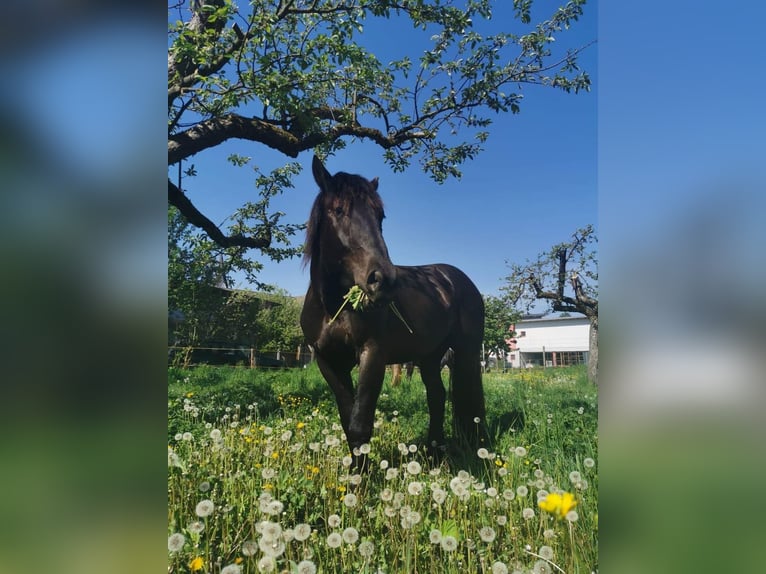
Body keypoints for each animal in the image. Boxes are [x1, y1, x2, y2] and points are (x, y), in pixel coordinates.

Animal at [300, 156, 486, 468]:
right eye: (338, 210)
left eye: (380, 216)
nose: (383, 279)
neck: (332, 307)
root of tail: (458, 279)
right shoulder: (329, 362)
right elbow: (347, 420)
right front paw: (355, 473)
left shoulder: (373, 355)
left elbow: (360, 424)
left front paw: (359, 479)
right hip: (429, 357)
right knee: (437, 396)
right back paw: (434, 450)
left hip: (467, 352)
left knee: (468, 397)